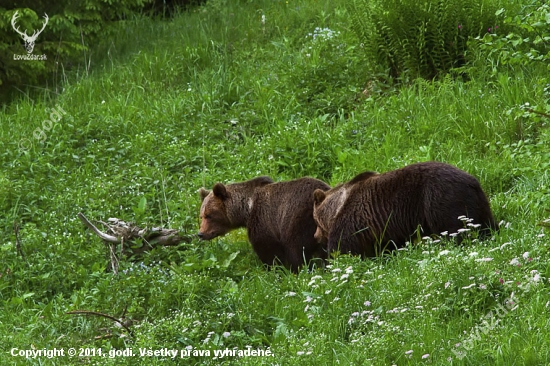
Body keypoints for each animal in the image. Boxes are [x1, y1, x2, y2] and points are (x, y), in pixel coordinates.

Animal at [202, 176, 332, 270]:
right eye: (201, 215)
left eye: (209, 215)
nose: (201, 234)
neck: (247, 210)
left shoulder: (263, 221)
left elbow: (268, 250)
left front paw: (274, 268)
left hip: (299, 219)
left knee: (295, 247)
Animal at [314, 162, 500, 258]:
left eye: (315, 220)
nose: (316, 236)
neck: (337, 207)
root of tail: (472, 181)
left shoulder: (354, 220)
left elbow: (344, 247)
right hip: (480, 205)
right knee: (487, 226)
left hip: (439, 200)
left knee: (454, 230)